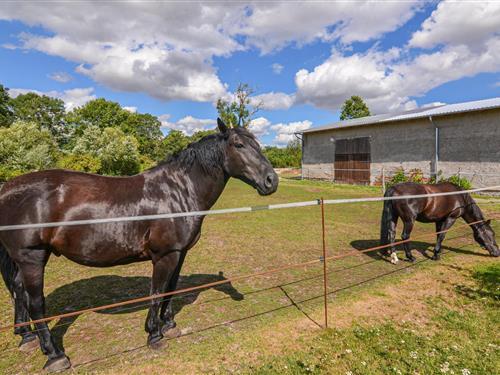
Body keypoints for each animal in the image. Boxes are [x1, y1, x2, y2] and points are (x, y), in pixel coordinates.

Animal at [0, 119, 278, 374]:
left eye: (257, 144)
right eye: (238, 144)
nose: (271, 181)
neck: (178, 191)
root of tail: (7, 189)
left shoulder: (179, 253)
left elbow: (170, 289)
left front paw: (169, 325)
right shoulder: (165, 255)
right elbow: (156, 292)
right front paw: (154, 335)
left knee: (19, 291)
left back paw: (27, 337)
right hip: (32, 258)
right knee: (36, 303)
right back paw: (55, 355)